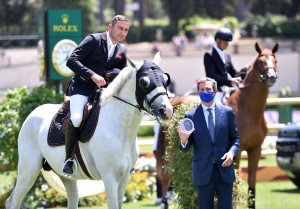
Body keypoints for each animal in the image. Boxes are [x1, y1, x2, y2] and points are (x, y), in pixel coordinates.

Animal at [5, 54, 172, 209]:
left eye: (166, 79)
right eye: (144, 82)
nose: (167, 111)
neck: (120, 129)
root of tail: (32, 113)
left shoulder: (124, 178)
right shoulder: (110, 178)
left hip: (65, 176)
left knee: (72, 198)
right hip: (29, 171)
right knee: (12, 201)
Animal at [230, 42, 278, 207]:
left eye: (276, 60)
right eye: (260, 62)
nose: (271, 77)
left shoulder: (256, 150)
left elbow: (252, 184)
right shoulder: (237, 152)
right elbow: (234, 183)